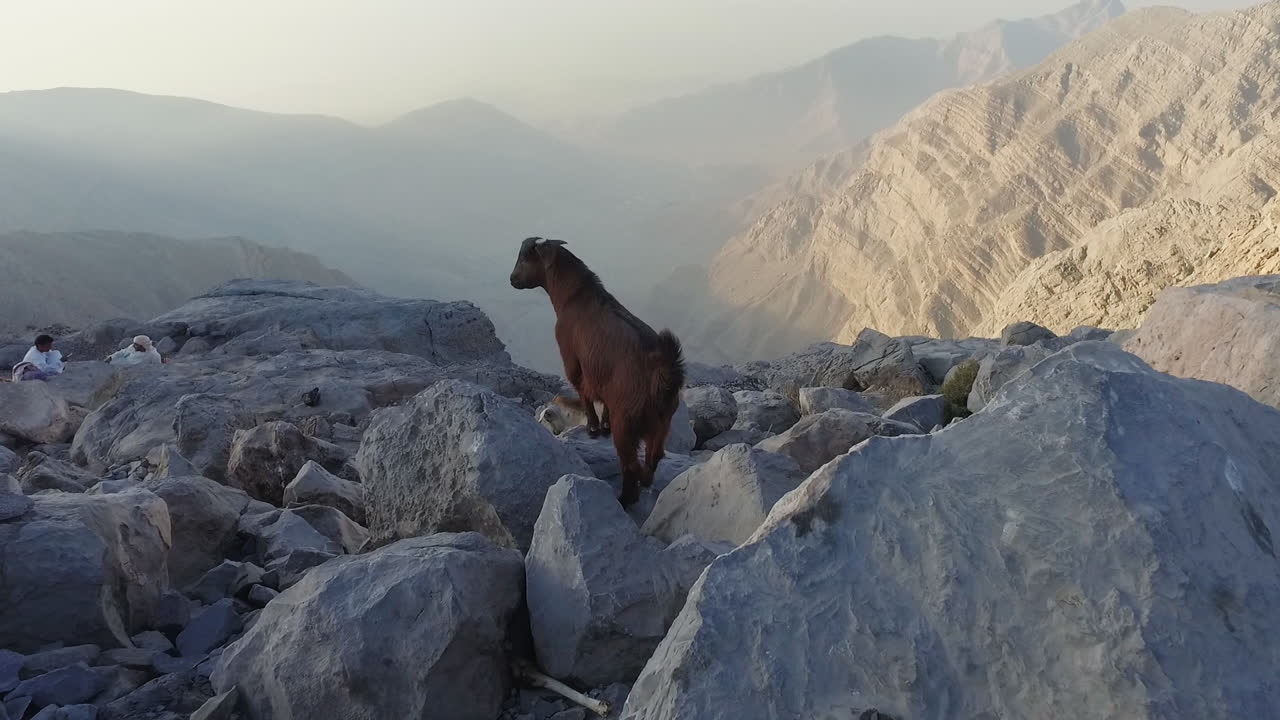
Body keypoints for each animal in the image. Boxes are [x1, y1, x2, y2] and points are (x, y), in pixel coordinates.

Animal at [510, 236, 685, 506]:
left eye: (525, 258)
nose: (512, 278)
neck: (575, 297)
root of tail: (663, 374)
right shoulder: (604, 381)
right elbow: (603, 401)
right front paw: (603, 426)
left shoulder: (572, 358)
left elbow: (583, 391)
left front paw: (593, 429)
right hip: (662, 423)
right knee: (653, 457)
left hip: (627, 422)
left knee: (630, 463)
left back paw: (626, 498)